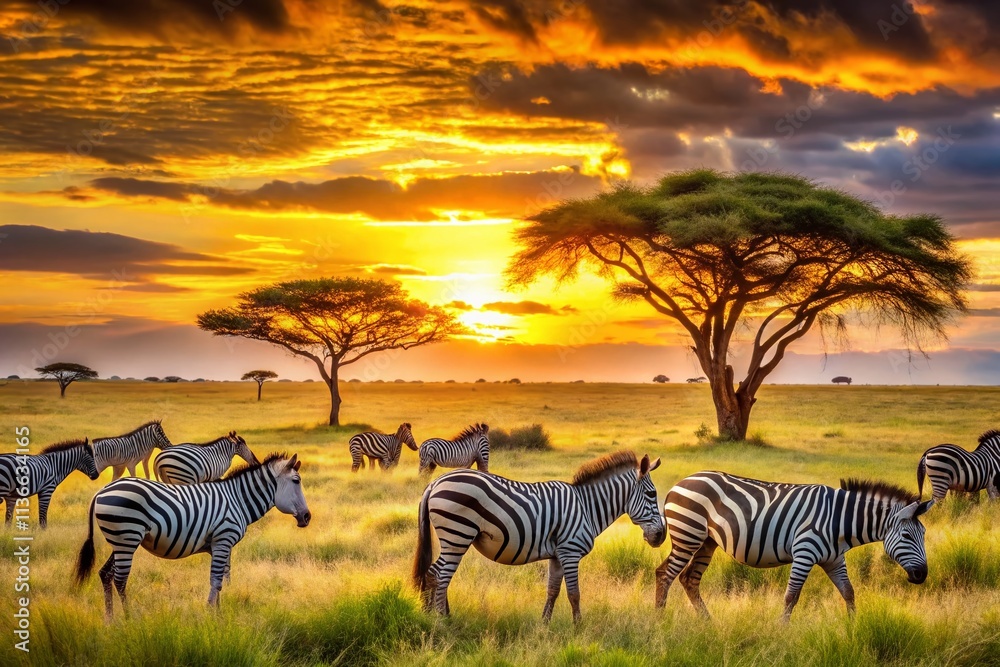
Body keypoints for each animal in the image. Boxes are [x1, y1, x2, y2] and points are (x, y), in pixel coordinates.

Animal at [75, 452, 310, 618]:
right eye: (296, 481)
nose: (307, 517)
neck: (238, 500)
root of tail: (102, 490)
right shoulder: (223, 539)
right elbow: (216, 581)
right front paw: (210, 615)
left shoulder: (219, 545)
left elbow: (221, 579)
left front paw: (218, 614)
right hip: (127, 537)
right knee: (120, 579)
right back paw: (128, 618)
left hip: (120, 541)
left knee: (105, 574)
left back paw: (110, 620)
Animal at [413, 450, 665, 623]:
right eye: (652, 494)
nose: (661, 536)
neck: (586, 507)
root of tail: (434, 483)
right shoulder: (570, 551)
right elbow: (574, 594)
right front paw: (579, 629)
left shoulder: (558, 555)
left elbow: (553, 591)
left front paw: (545, 625)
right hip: (458, 534)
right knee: (440, 575)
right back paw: (441, 620)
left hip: (453, 537)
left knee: (434, 574)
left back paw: (430, 615)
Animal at [655, 472, 934, 621]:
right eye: (907, 536)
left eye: (923, 535)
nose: (922, 575)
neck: (840, 521)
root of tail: (680, 483)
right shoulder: (804, 552)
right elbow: (791, 596)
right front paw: (781, 632)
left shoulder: (834, 560)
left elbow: (849, 592)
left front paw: (854, 628)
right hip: (688, 534)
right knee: (665, 574)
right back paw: (660, 621)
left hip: (706, 541)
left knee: (689, 579)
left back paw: (708, 623)